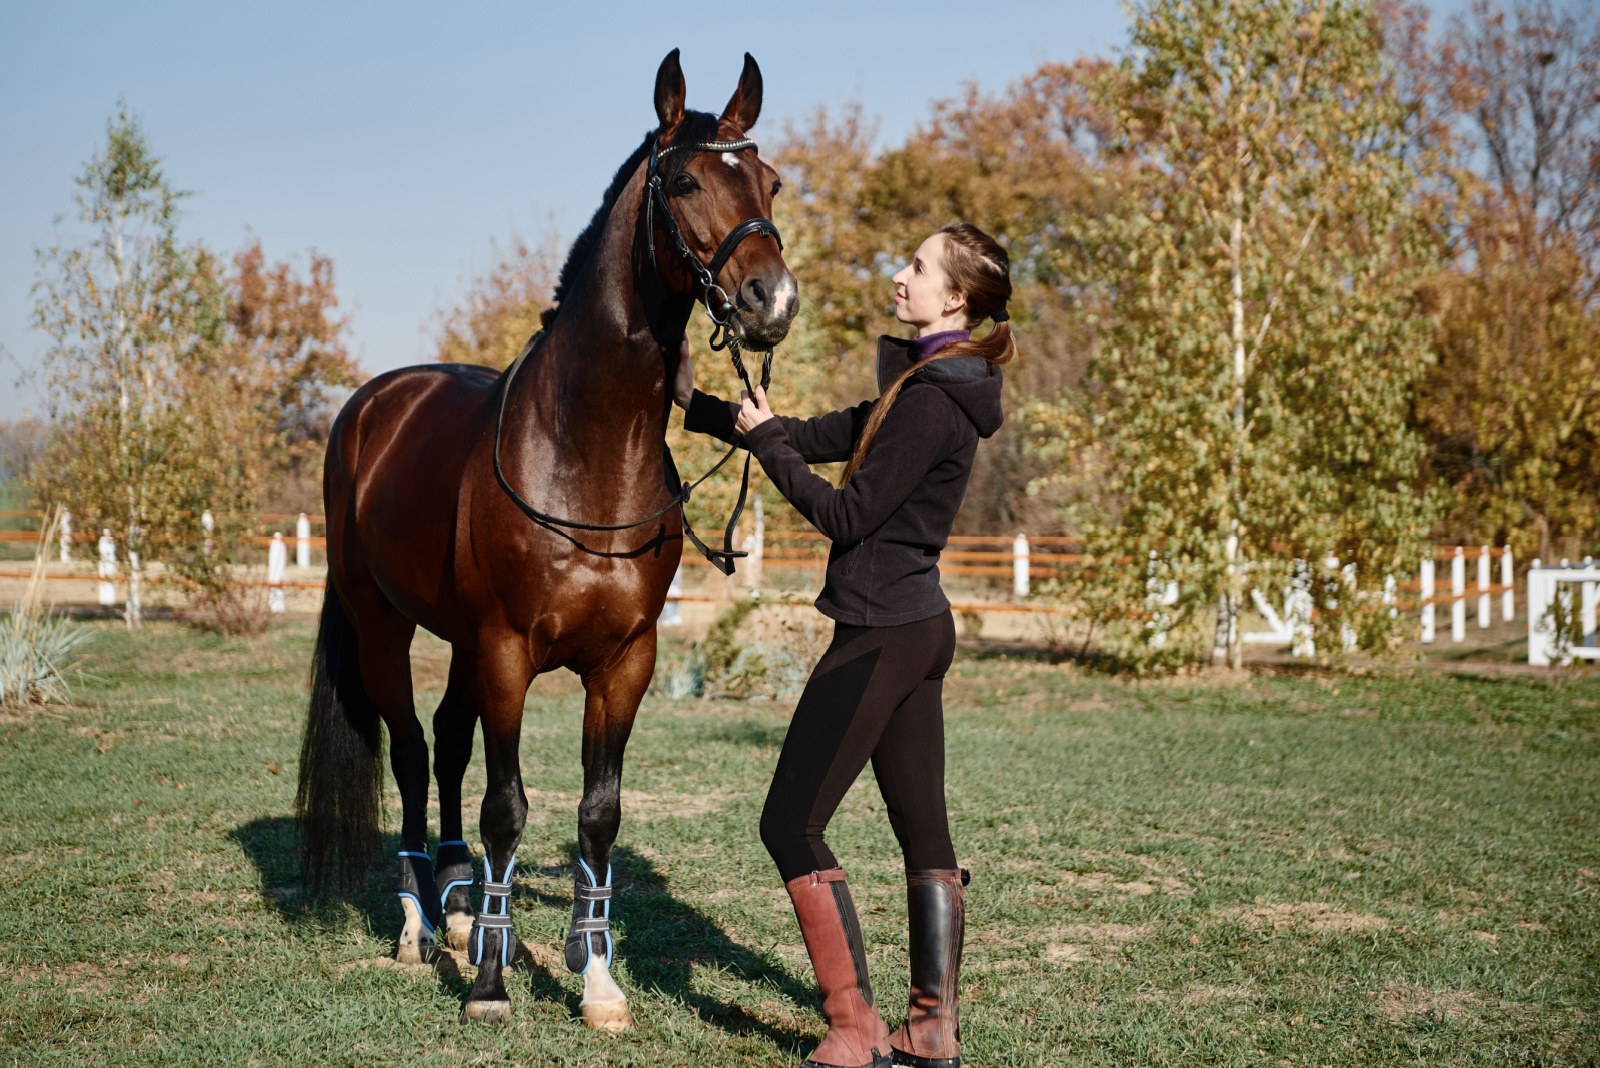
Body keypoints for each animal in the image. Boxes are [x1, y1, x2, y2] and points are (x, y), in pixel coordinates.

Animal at [297, 47, 796, 1023]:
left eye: (771, 182)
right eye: (685, 182)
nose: (772, 302)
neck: (586, 455)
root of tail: (374, 404)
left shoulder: (625, 660)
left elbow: (596, 814)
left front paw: (596, 979)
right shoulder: (506, 652)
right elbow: (508, 807)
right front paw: (491, 986)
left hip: (458, 642)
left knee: (449, 746)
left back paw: (460, 913)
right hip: (385, 626)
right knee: (414, 753)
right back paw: (421, 925)